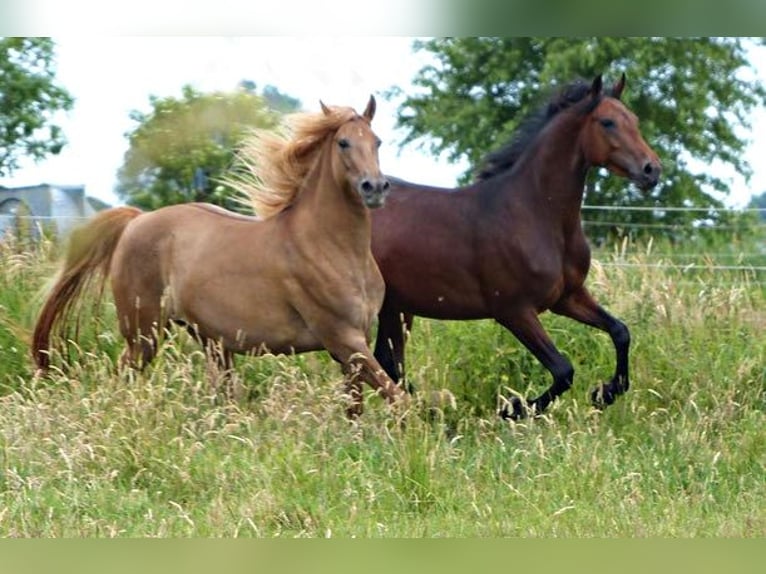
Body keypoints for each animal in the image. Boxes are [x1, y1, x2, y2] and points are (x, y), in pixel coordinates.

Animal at [32, 95, 408, 418]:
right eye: (343, 142)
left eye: (377, 142)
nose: (375, 187)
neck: (330, 246)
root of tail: (136, 220)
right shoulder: (342, 337)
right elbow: (399, 400)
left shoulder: (354, 342)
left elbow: (357, 406)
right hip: (143, 333)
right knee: (123, 375)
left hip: (208, 340)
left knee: (219, 394)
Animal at [370, 75, 660, 418]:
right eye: (607, 122)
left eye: (635, 121)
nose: (651, 170)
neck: (535, 213)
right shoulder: (514, 311)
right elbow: (563, 370)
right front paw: (513, 409)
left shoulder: (568, 297)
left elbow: (620, 331)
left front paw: (606, 392)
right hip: (388, 305)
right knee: (385, 362)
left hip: (399, 306)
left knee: (387, 361)